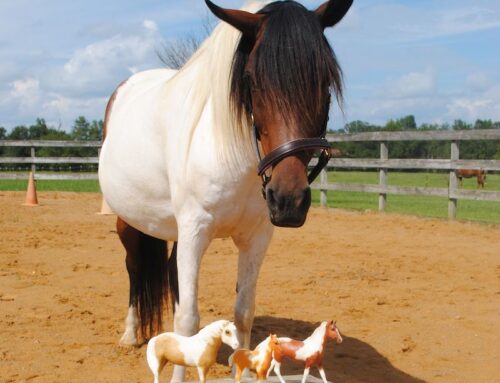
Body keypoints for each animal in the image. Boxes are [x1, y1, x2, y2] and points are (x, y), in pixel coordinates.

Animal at [98, 1, 352, 382]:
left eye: (324, 81)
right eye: (252, 81)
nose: (288, 200)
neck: (232, 153)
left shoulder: (256, 237)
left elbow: (243, 311)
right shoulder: (195, 231)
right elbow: (188, 318)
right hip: (128, 221)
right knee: (134, 268)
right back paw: (129, 334)